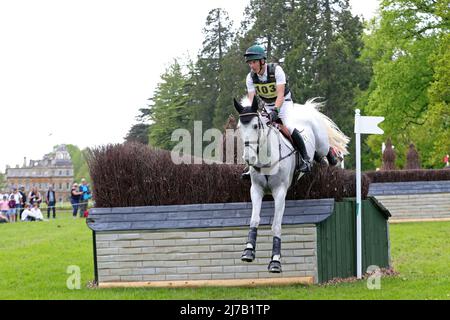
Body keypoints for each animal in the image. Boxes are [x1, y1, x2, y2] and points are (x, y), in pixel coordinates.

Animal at [234, 95, 350, 272]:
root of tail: (305, 108)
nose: (249, 158)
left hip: (321, 143)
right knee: (316, 156)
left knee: (325, 148)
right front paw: (248, 251)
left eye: (255, 126)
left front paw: (275, 261)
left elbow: (276, 225)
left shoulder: (280, 192)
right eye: (240, 127)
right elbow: (254, 220)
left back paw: (333, 158)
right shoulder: (256, 190)